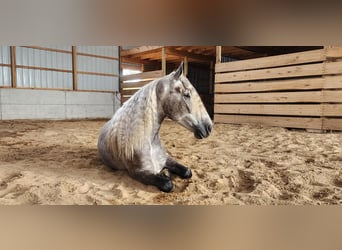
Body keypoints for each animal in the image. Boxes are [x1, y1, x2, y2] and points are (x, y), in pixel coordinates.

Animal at [97, 63, 212, 193]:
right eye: (187, 95)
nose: (208, 127)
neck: (149, 142)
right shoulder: (138, 172)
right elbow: (167, 184)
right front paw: (165, 175)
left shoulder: (167, 159)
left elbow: (187, 171)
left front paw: (167, 172)